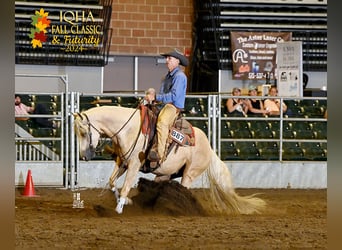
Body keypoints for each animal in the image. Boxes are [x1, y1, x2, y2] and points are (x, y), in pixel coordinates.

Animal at [73, 105, 266, 215]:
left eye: (83, 132)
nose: (83, 156)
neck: (128, 128)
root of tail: (210, 149)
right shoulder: (122, 162)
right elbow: (112, 182)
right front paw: (126, 201)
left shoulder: (134, 165)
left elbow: (126, 186)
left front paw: (119, 208)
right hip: (165, 174)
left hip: (189, 173)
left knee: (183, 190)